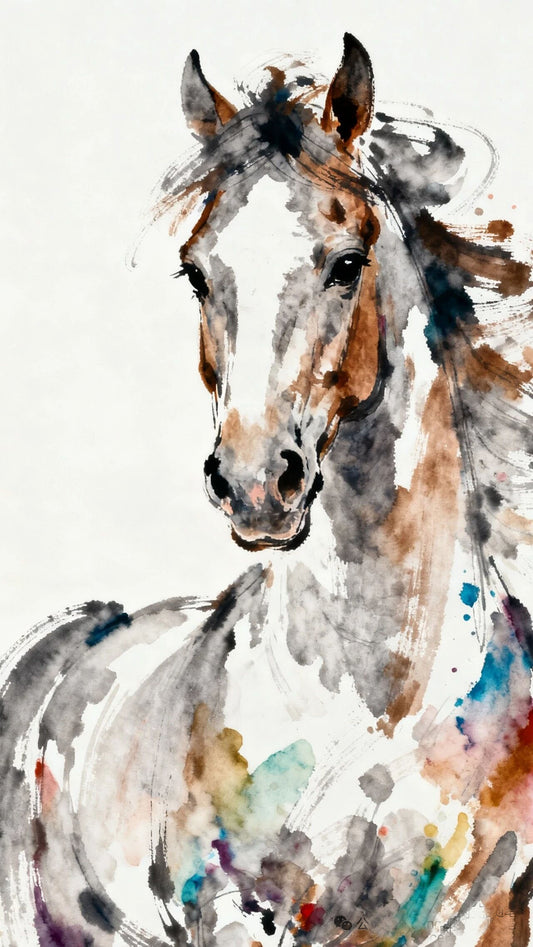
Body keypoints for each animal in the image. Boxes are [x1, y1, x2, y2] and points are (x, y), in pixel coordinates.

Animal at [1, 33, 532, 947]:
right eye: (194, 272)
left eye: (346, 262)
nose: (253, 483)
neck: (377, 698)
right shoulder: (237, 917)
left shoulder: (496, 912)